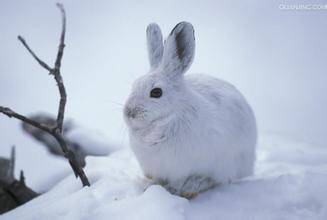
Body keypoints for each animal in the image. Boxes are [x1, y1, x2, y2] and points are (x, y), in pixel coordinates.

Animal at [124, 21, 258, 198]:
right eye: (134, 85)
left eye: (156, 92)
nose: (128, 113)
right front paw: (149, 186)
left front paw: (177, 189)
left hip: (228, 165)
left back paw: (194, 185)